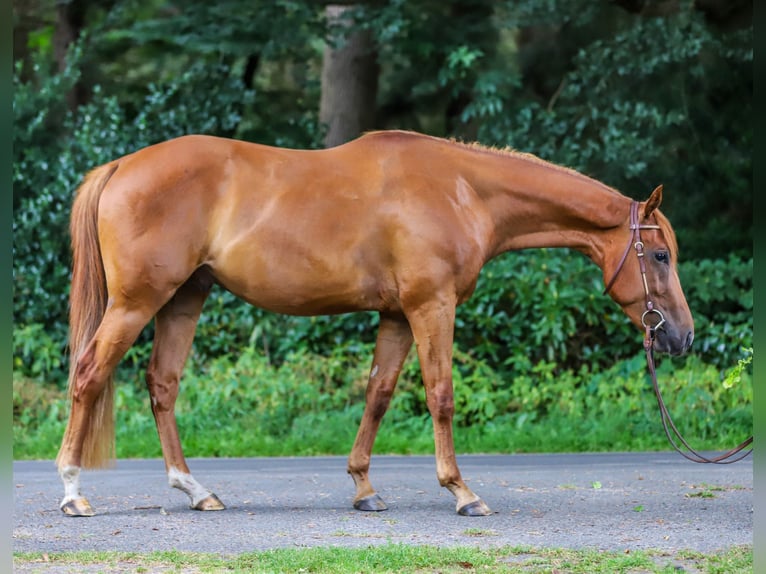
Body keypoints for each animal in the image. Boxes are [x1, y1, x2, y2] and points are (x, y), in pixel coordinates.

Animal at [56, 130, 694, 517]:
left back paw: (196, 490)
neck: (463, 190)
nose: (682, 336)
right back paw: (73, 491)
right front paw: (461, 491)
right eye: (661, 256)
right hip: (136, 302)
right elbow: (440, 395)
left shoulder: (395, 315)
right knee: (88, 374)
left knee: (162, 385)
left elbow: (379, 394)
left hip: (183, 300)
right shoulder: (432, 306)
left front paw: (364, 488)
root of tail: (120, 167)